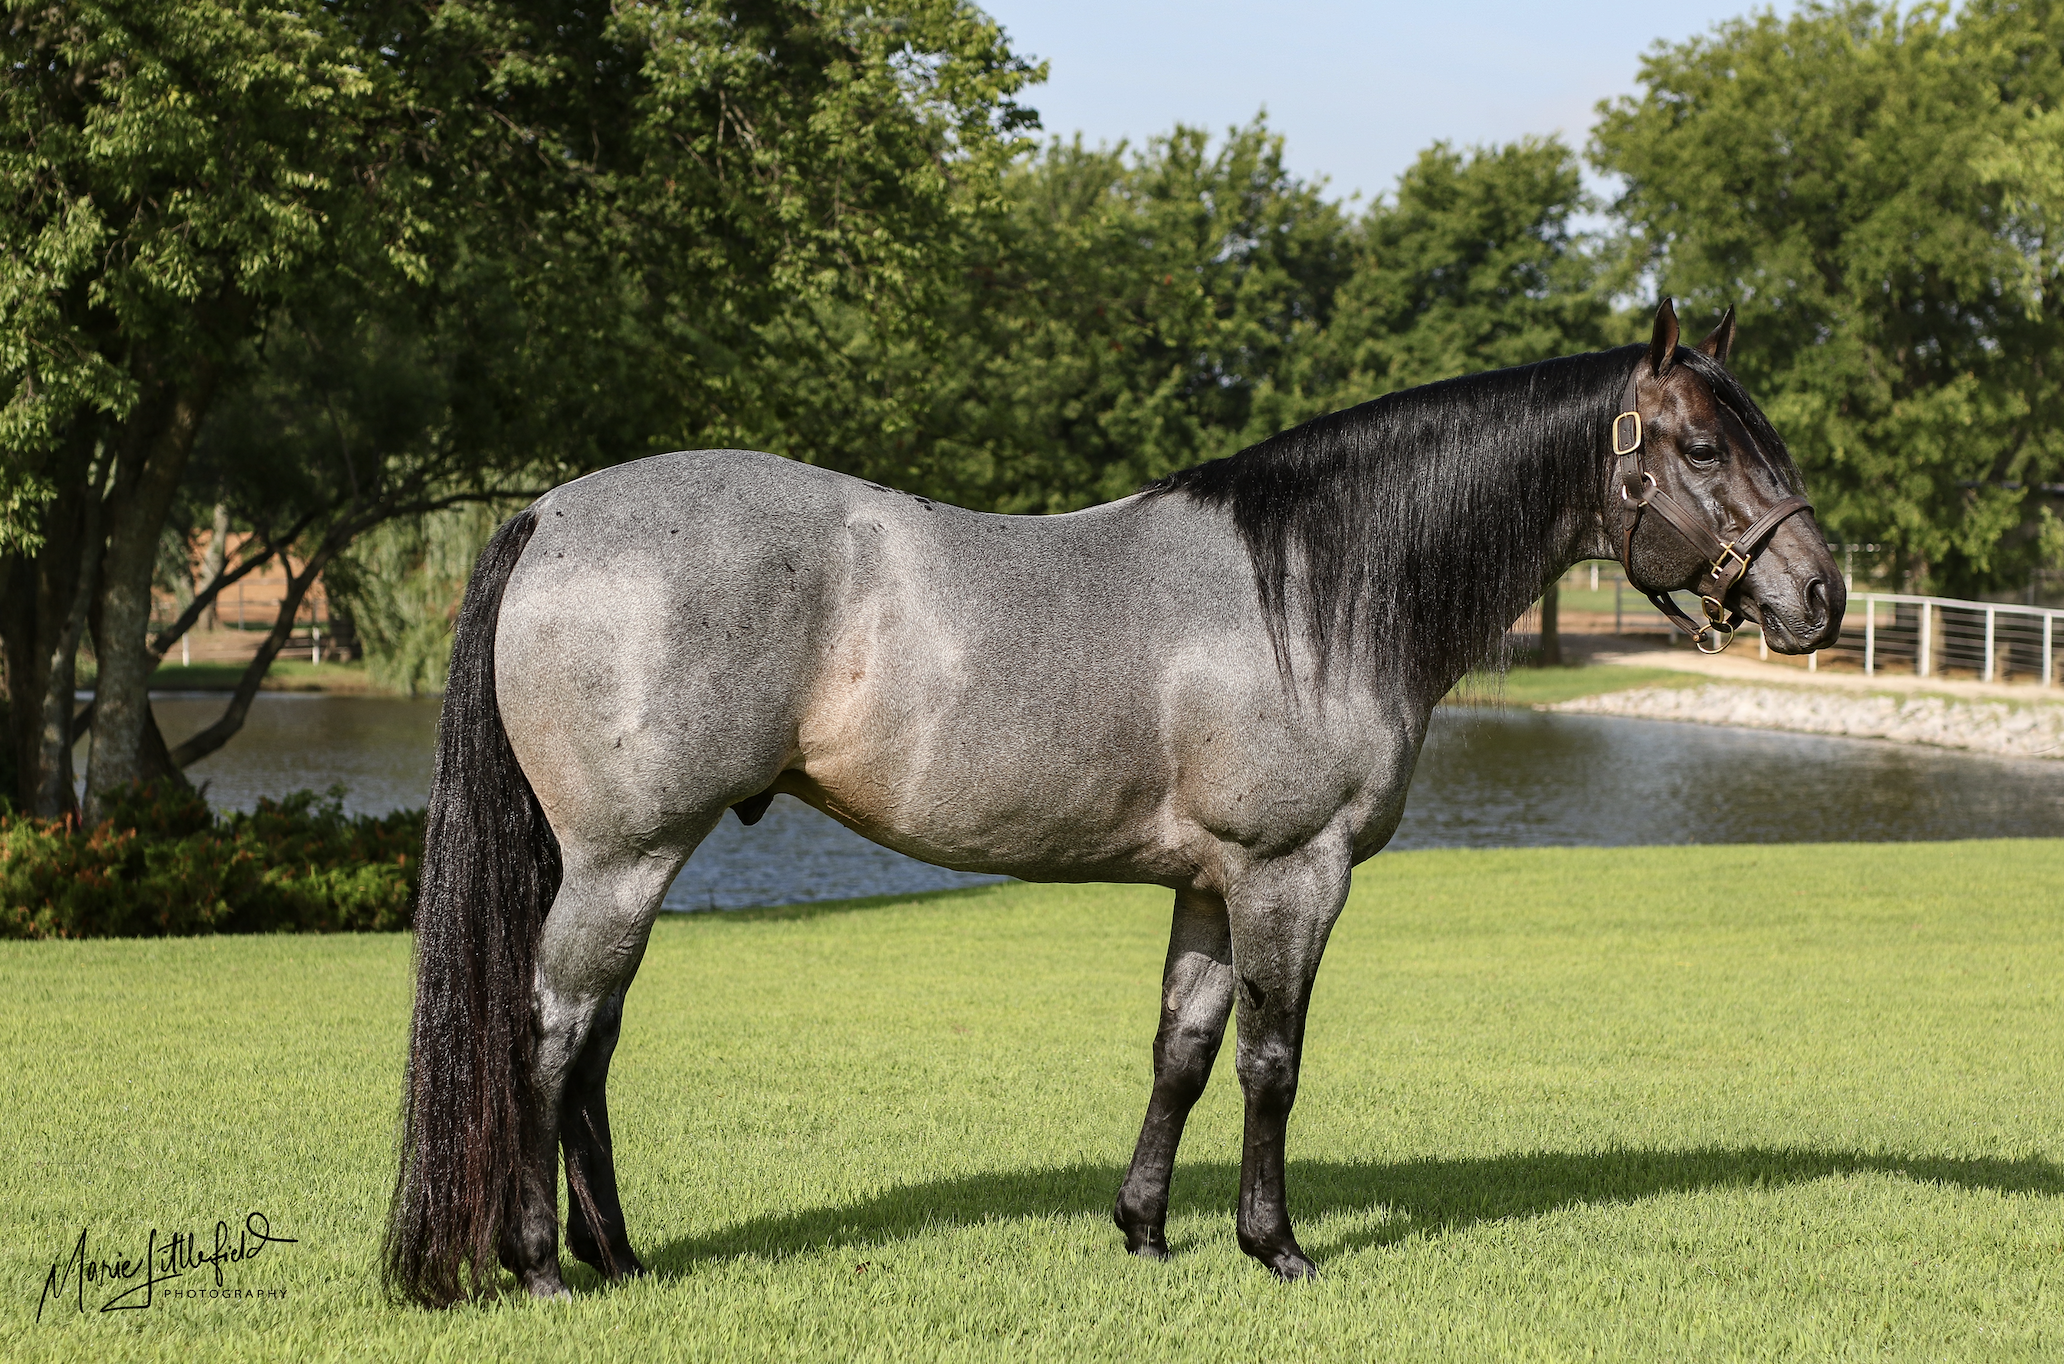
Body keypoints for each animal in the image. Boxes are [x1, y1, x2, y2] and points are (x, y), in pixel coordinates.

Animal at [383, 303, 1841, 1304]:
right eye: (1703, 444)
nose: (1818, 596)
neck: (1305, 591)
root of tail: (550, 516)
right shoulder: (1290, 872)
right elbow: (1272, 1060)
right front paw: (1276, 1245)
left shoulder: (1209, 883)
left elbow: (1181, 1052)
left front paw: (1143, 1228)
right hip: (623, 858)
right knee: (549, 1034)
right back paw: (545, 1265)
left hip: (635, 862)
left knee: (593, 1048)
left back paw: (619, 1255)